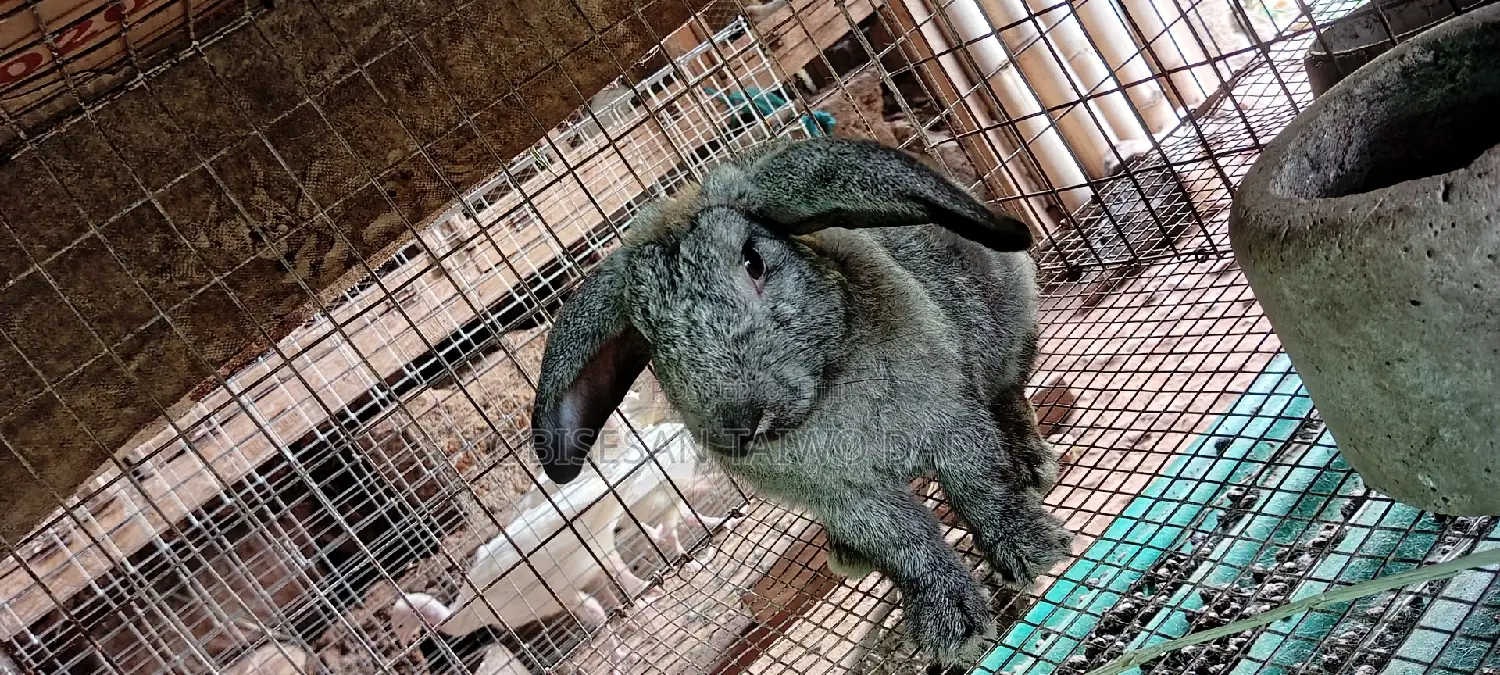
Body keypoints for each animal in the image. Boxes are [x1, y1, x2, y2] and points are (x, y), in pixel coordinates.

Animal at [528, 136, 1073, 669]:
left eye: (754, 261)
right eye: (647, 335)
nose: (737, 425)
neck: (823, 397)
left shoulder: (952, 425)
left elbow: (982, 490)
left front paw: (1033, 553)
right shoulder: (849, 499)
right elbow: (905, 545)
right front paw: (952, 626)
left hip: (1011, 335)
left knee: (1011, 399)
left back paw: (1033, 467)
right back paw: (846, 553)